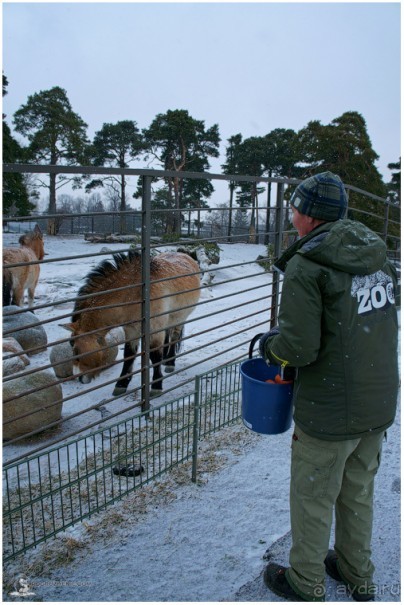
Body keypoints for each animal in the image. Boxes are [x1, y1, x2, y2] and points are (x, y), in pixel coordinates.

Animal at [62, 249, 200, 396]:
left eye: (76, 349)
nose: (80, 379)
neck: (135, 293)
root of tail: (185, 255)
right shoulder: (131, 330)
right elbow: (129, 355)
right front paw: (121, 384)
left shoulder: (154, 330)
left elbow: (154, 356)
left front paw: (156, 385)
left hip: (179, 318)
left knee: (174, 338)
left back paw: (170, 362)